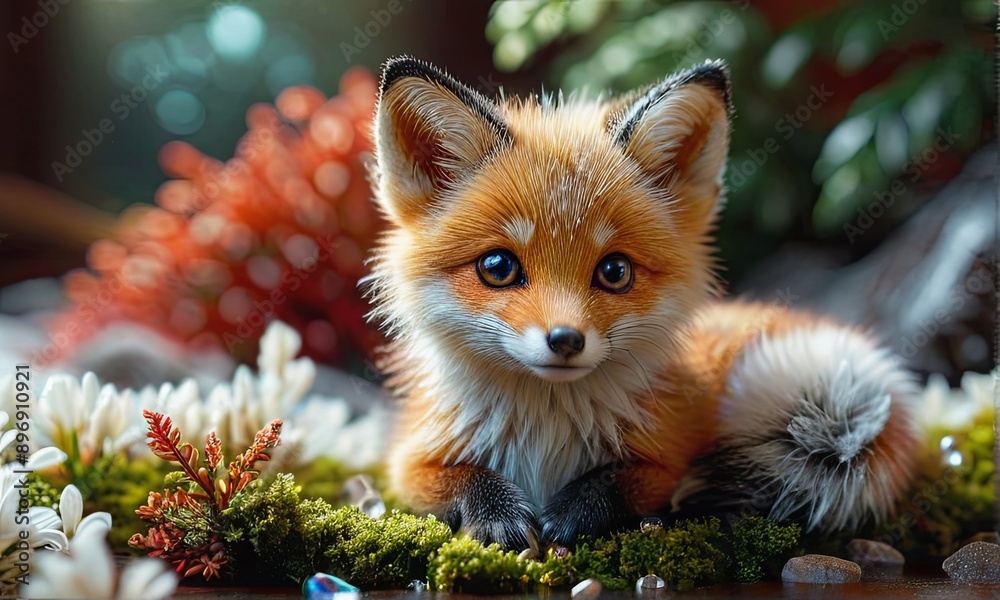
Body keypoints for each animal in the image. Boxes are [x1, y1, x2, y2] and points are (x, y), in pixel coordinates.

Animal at [364, 56, 919, 549]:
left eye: (615, 271)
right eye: (497, 267)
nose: (565, 340)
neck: (546, 438)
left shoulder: (669, 451)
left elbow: (628, 479)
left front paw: (578, 511)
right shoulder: (409, 459)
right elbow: (458, 477)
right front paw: (496, 513)